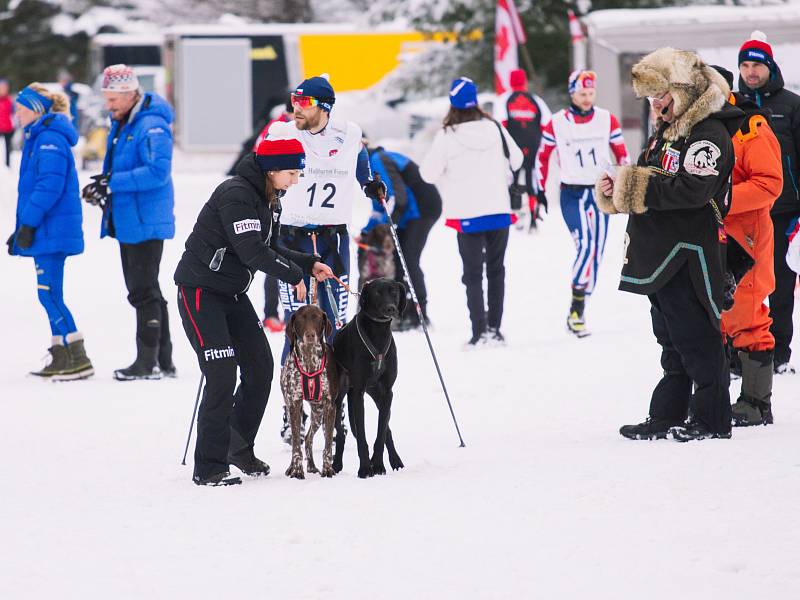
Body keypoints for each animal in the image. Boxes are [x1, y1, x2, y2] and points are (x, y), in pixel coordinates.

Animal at [282, 304, 338, 478]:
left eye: (318, 318)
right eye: (300, 319)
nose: (310, 335)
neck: (309, 360)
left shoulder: (329, 406)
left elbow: (328, 445)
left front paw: (328, 469)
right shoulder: (294, 404)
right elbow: (295, 445)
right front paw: (297, 470)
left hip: (318, 413)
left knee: (308, 438)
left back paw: (313, 466)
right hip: (297, 409)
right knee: (299, 439)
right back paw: (295, 467)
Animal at [332, 276, 406, 478]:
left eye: (394, 291)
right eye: (377, 293)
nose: (390, 308)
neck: (378, 331)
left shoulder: (387, 392)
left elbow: (381, 434)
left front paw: (378, 464)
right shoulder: (358, 394)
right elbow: (362, 437)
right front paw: (365, 468)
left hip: (377, 395)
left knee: (386, 429)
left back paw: (395, 460)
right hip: (338, 399)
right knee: (340, 433)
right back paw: (336, 463)